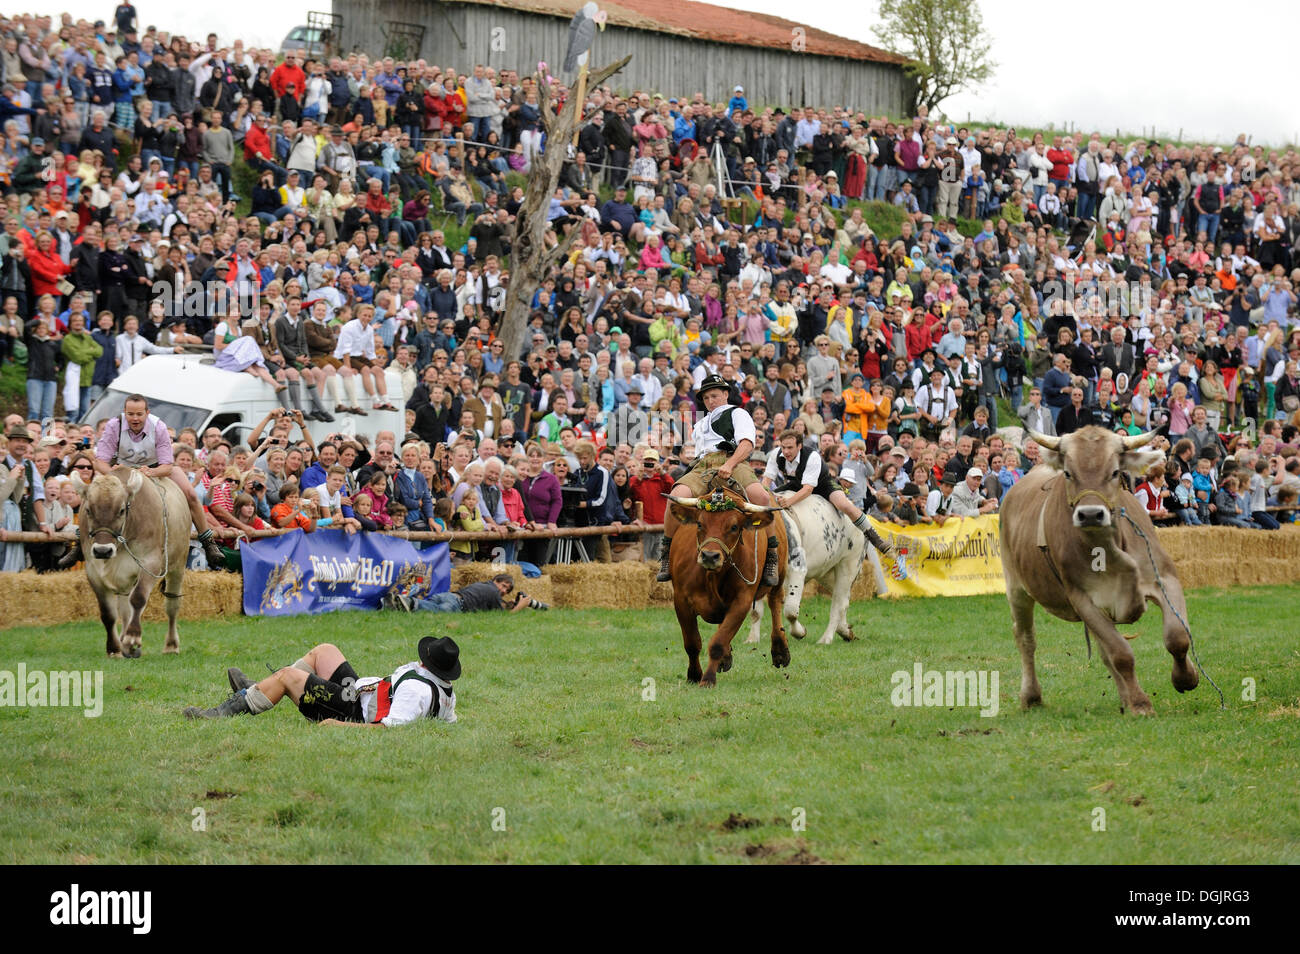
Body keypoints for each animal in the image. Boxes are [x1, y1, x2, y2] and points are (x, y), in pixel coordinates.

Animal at [72, 467, 189, 657]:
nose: (102, 550)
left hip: (178, 565)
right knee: (126, 610)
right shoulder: (93, 571)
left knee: (172, 605)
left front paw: (132, 638)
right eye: (88, 510)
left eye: (121, 510)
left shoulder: (150, 563)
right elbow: (108, 613)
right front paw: (114, 648)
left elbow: (139, 598)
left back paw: (171, 645)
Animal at [665, 486, 785, 686]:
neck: (712, 577)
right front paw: (694, 675)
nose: (709, 556)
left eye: (734, 527)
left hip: (780, 575)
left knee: (776, 603)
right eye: (699, 524)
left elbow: (718, 643)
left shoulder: (742, 602)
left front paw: (708, 679)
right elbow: (692, 643)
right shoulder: (681, 600)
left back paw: (780, 651)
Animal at [998, 428, 1201, 712]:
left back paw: (1125, 697)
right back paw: (1031, 696)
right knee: (1026, 638)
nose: (1091, 514)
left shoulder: (1165, 578)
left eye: (1115, 472)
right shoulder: (1082, 598)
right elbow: (1121, 653)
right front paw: (1140, 703)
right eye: (1068, 473)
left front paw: (1186, 678)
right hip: (1016, 587)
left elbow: (1177, 636)